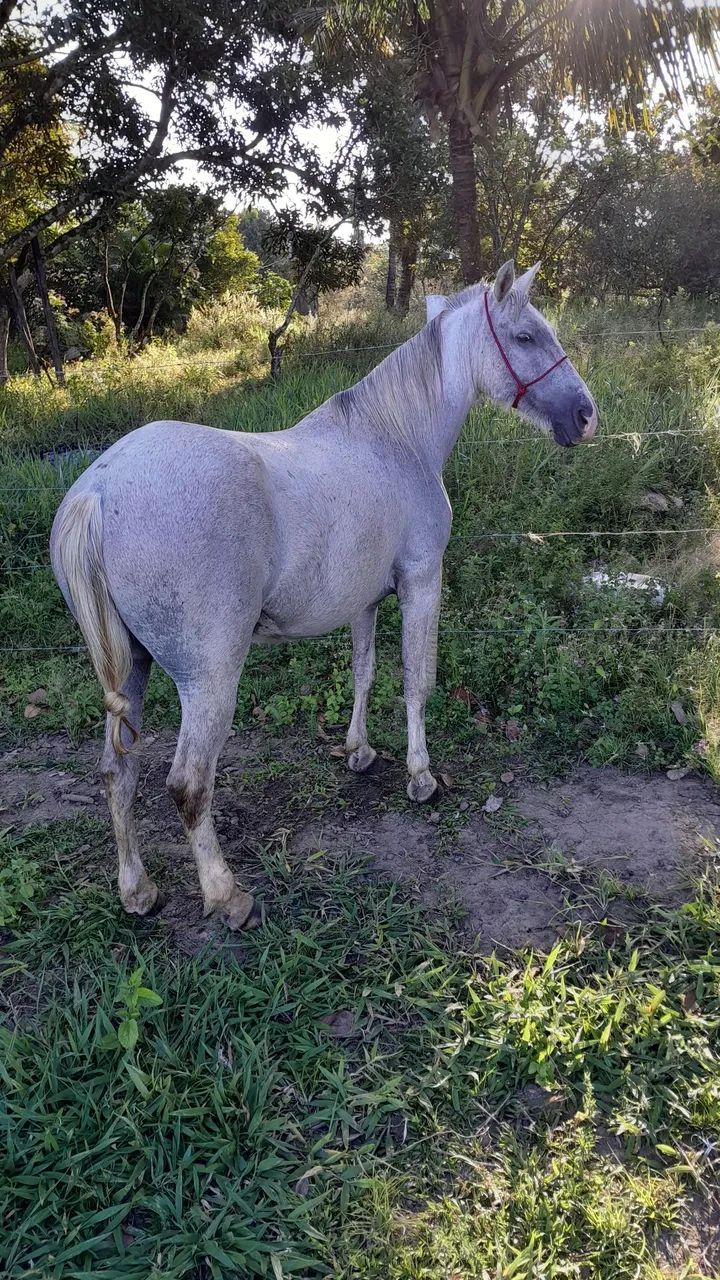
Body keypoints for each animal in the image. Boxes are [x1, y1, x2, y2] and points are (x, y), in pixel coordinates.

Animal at [50, 260, 597, 930]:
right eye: (524, 336)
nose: (585, 415)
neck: (394, 439)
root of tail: (97, 492)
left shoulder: (364, 600)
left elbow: (365, 672)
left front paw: (358, 751)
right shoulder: (422, 581)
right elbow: (417, 680)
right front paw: (420, 777)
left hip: (132, 670)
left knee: (117, 772)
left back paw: (137, 891)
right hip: (209, 681)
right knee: (189, 785)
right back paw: (227, 896)